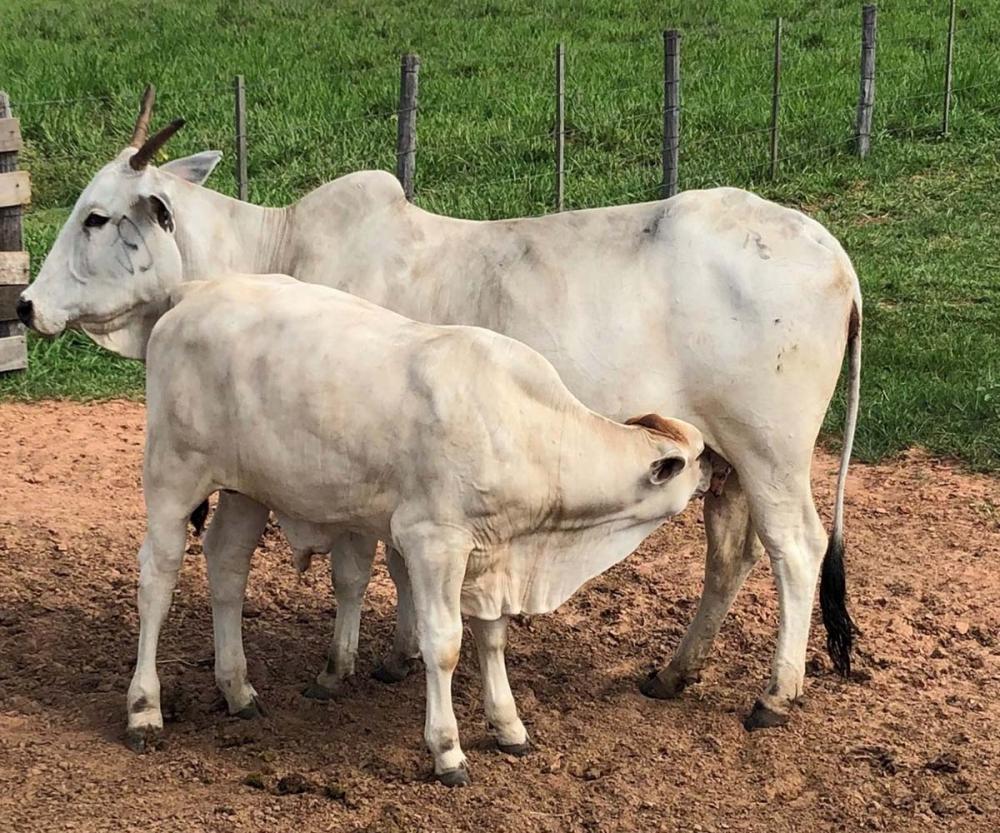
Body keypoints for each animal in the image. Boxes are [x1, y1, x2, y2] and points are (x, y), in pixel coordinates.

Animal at [20, 87, 861, 730]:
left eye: (96, 216)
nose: (26, 304)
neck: (272, 253)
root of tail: (836, 256)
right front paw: (394, 655)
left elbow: (364, 566)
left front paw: (367, 661)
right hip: (726, 461)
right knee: (732, 556)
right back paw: (674, 671)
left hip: (771, 451)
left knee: (796, 548)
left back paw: (775, 693)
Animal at [133, 272, 711, 784]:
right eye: (696, 457)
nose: (715, 474)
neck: (525, 429)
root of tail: (194, 292)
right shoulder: (433, 542)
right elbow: (445, 643)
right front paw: (448, 751)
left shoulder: (490, 555)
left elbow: (492, 636)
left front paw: (508, 726)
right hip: (171, 476)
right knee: (157, 580)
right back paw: (144, 709)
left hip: (247, 491)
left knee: (228, 566)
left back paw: (238, 691)